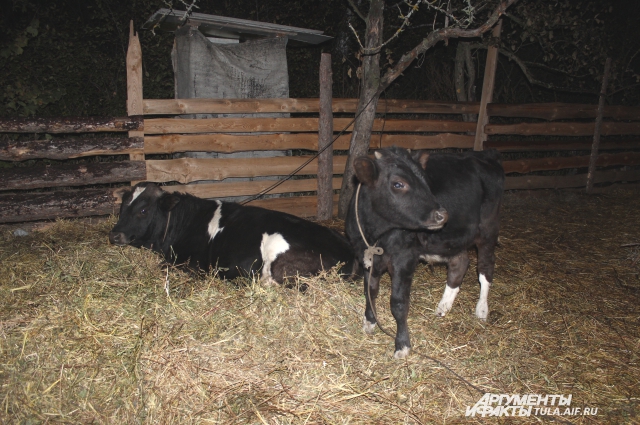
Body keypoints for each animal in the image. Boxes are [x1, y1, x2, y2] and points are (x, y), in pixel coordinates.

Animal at [345, 147, 504, 359]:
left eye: (425, 181)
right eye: (398, 183)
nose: (442, 215)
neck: (375, 235)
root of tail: (486, 155)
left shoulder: (404, 258)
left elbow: (398, 303)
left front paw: (402, 345)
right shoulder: (365, 255)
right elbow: (370, 291)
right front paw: (369, 323)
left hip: (488, 229)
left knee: (486, 267)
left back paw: (482, 310)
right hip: (455, 238)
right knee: (460, 263)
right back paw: (443, 307)